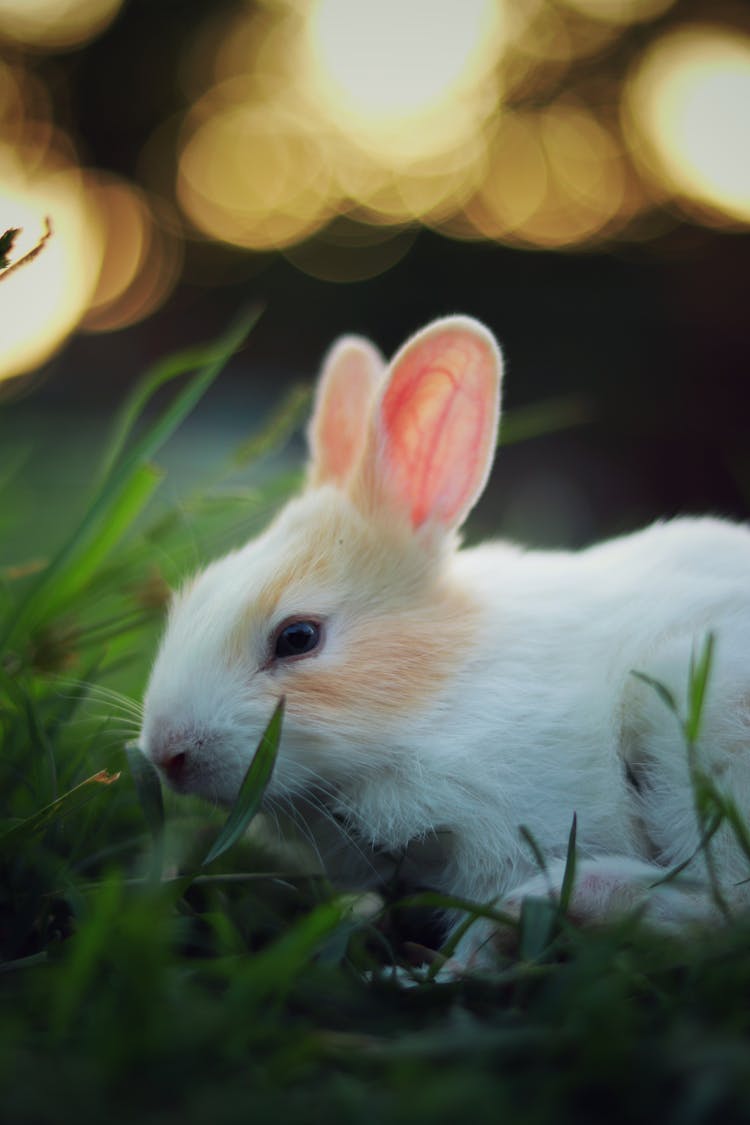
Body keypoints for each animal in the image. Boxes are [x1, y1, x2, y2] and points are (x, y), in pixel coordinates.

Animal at [139, 319, 750, 967]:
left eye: (297, 637)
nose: (167, 753)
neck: (438, 699)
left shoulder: (511, 828)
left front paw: (458, 963)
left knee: (725, 907)